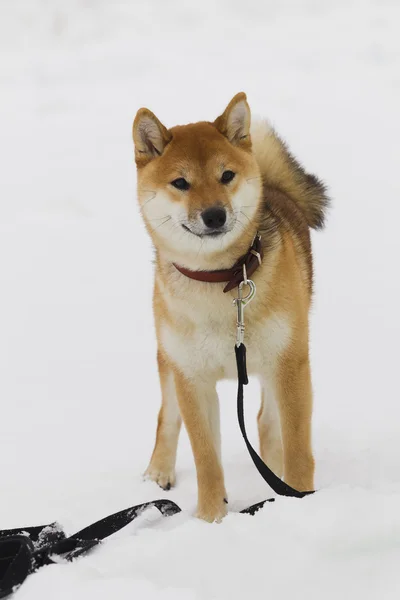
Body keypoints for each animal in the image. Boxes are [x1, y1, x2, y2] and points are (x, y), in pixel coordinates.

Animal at [133, 92, 326, 520]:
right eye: (181, 183)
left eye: (226, 176)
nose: (214, 214)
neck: (220, 279)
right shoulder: (192, 379)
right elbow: (206, 459)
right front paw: (210, 519)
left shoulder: (290, 363)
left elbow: (298, 448)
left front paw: (300, 502)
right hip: (168, 357)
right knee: (165, 415)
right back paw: (159, 470)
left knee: (267, 422)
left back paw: (273, 472)